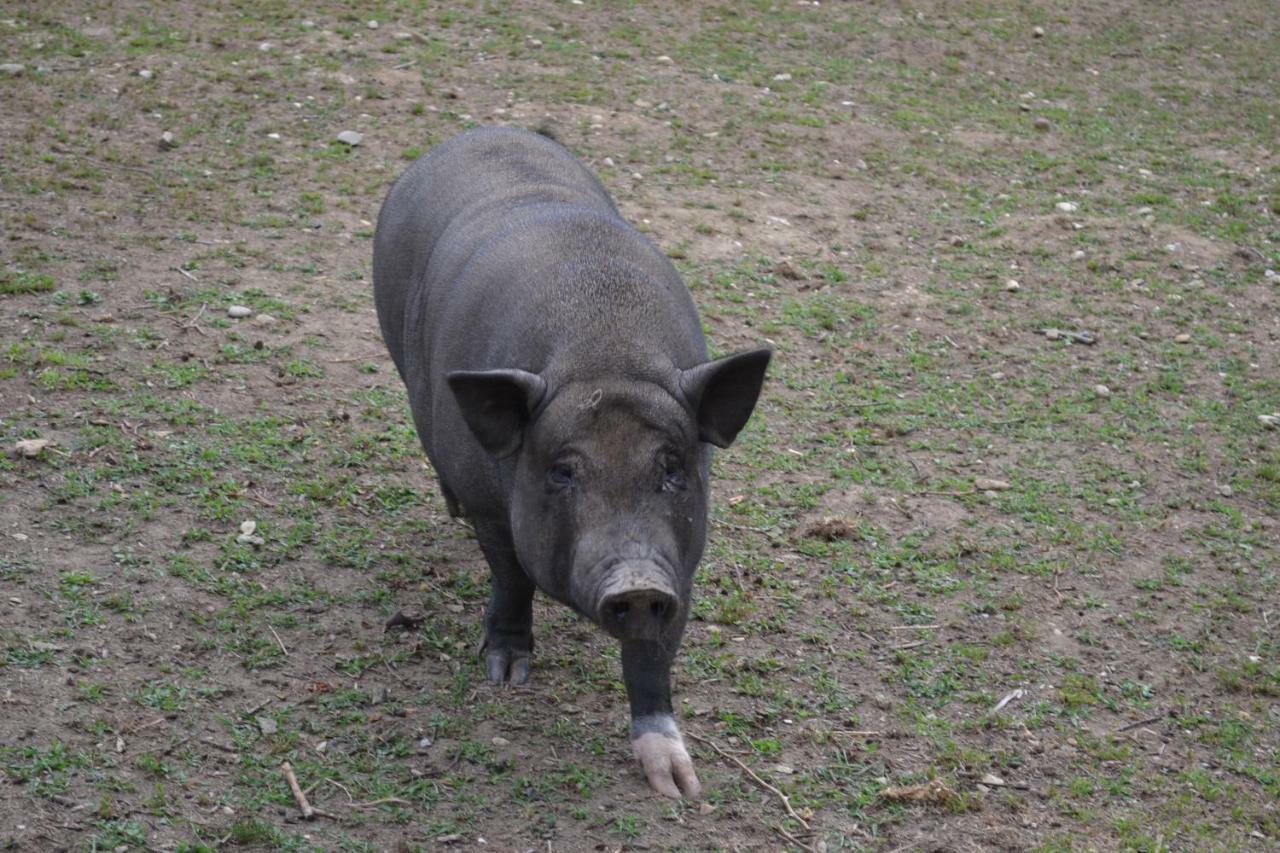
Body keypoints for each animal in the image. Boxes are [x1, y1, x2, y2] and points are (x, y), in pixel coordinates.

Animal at [371, 126, 768, 799]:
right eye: (562, 471)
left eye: (672, 468)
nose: (636, 580)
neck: (604, 357)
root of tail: (481, 130)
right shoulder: (493, 509)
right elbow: (511, 576)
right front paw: (506, 675)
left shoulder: (679, 561)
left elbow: (653, 655)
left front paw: (679, 786)